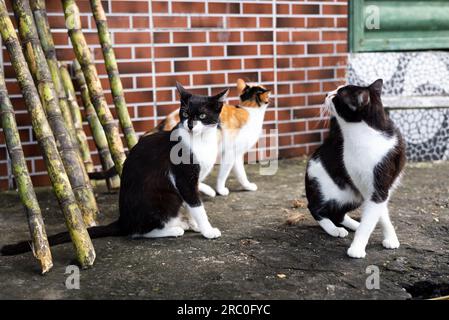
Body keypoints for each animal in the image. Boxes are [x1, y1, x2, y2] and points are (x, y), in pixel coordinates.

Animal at [0, 82, 228, 255]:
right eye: (185, 113)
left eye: (201, 116)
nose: (189, 125)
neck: (199, 141)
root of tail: (123, 219)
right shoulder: (183, 179)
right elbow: (196, 205)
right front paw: (207, 230)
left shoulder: (192, 182)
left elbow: (192, 205)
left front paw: (196, 225)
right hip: (164, 199)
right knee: (137, 232)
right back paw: (174, 229)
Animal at [304, 79, 406, 258]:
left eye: (337, 96)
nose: (326, 94)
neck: (365, 135)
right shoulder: (361, 181)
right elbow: (374, 215)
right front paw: (357, 248)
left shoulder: (379, 186)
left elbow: (378, 213)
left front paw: (389, 238)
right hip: (328, 188)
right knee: (315, 208)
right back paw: (334, 229)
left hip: (353, 196)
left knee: (338, 213)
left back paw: (351, 225)